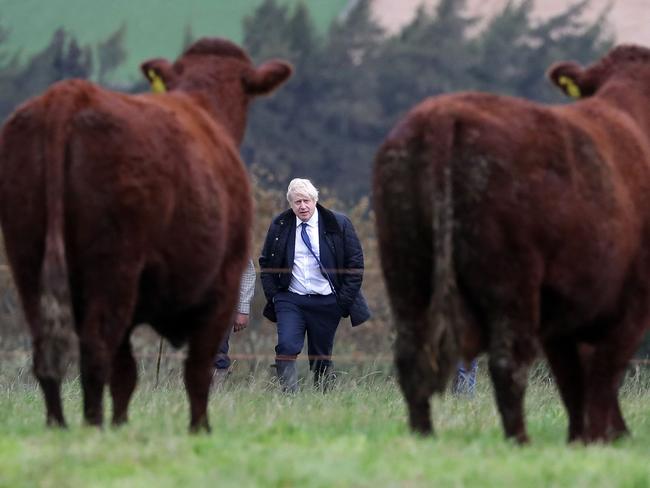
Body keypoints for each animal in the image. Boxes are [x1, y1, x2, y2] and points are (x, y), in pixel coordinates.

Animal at [0, 40, 292, 432]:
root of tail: (68, 96)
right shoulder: (225, 280)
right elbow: (196, 369)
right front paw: (199, 429)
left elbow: (127, 374)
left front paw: (123, 423)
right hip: (115, 267)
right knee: (96, 349)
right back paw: (93, 426)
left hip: (28, 261)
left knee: (49, 351)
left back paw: (59, 426)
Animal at [372, 44, 648, 442]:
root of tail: (440, 114)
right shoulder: (632, 304)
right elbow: (600, 379)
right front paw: (599, 439)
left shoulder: (566, 314)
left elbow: (575, 382)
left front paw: (582, 439)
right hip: (510, 280)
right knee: (508, 363)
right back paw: (519, 441)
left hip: (404, 269)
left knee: (411, 356)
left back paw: (423, 437)